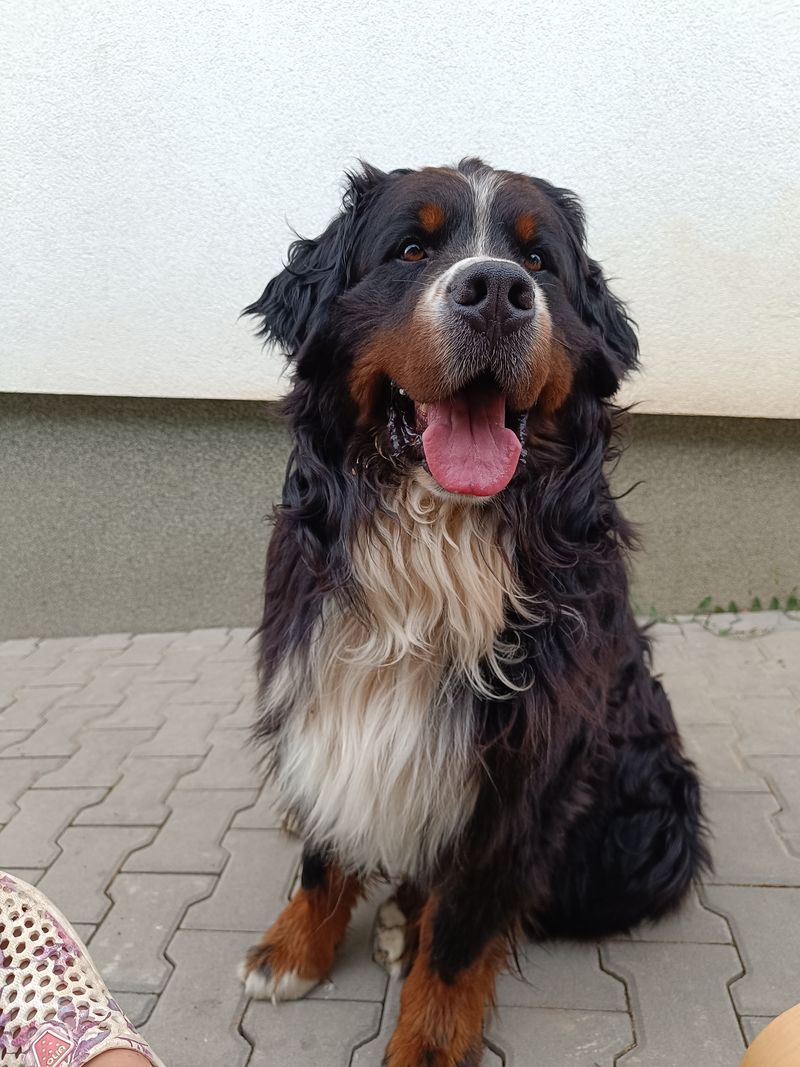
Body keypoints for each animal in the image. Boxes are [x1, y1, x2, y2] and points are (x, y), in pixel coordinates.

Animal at [238, 158, 708, 1065]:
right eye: (411, 250)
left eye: (540, 262)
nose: (496, 292)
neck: (437, 540)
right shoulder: (320, 687)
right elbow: (323, 851)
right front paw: (294, 948)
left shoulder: (526, 767)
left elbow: (466, 926)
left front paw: (430, 1035)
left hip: (649, 836)